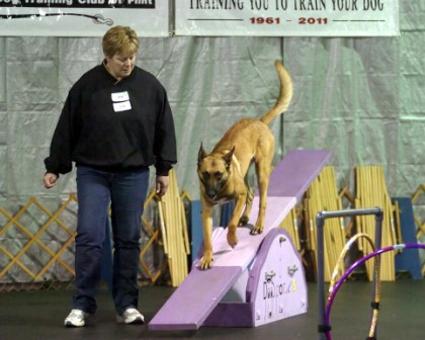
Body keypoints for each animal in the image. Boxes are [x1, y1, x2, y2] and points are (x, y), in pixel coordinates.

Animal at [196, 59, 292, 270]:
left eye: (218, 175)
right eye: (205, 174)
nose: (211, 194)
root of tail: (259, 122)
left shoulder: (237, 196)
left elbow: (231, 222)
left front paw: (232, 239)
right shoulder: (206, 211)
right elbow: (207, 238)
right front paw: (207, 257)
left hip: (262, 171)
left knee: (261, 200)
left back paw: (258, 224)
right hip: (246, 171)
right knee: (250, 193)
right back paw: (247, 218)